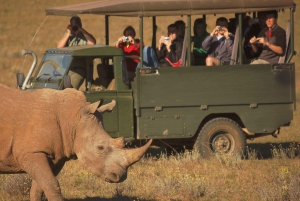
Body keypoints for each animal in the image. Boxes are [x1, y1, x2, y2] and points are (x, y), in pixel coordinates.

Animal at [0, 83, 152, 201]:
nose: (120, 176)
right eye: (100, 147)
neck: (72, 119)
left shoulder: (56, 156)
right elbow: (51, 184)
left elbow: (40, 188)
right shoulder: (31, 153)